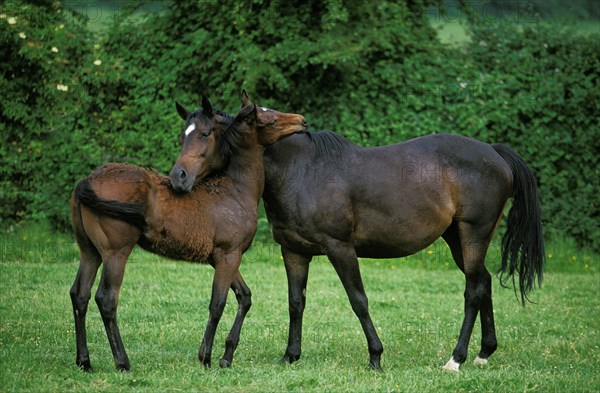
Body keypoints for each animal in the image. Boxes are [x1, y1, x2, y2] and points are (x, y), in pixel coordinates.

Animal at [68, 92, 308, 370]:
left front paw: (227, 356)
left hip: (89, 251)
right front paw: (206, 358)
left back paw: (84, 361)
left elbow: (244, 297)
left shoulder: (222, 258)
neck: (233, 190)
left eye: (203, 134)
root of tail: (86, 181)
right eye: (271, 119)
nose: (301, 121)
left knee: (79, 294)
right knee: (106, 299)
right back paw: (122, 362)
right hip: (115, 252)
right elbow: (218, 304)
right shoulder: (228, 255)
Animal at [262, 129, 544, 370]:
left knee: (473, 291)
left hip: (474, 235)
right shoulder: (294, 251)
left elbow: (358, 301)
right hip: (456, 240)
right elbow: (296, 302)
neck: (303, 171)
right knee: (484, 281)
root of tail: (494, 151)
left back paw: (455, 359)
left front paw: (375, 357)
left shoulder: (340, 248)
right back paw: (484, 352)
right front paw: (290, 355)